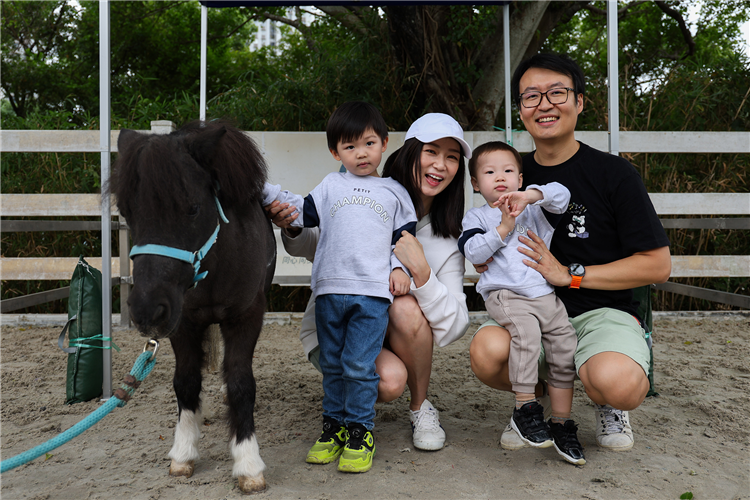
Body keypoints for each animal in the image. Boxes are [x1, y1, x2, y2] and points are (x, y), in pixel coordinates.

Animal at [111, 120, 276, 492]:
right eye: (127, 212)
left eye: (193, 208)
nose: (146, 310)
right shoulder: (182, 322)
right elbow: (185, 382)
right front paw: (183, 451)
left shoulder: (247, 317)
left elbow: (242, 382)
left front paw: (248, 462)